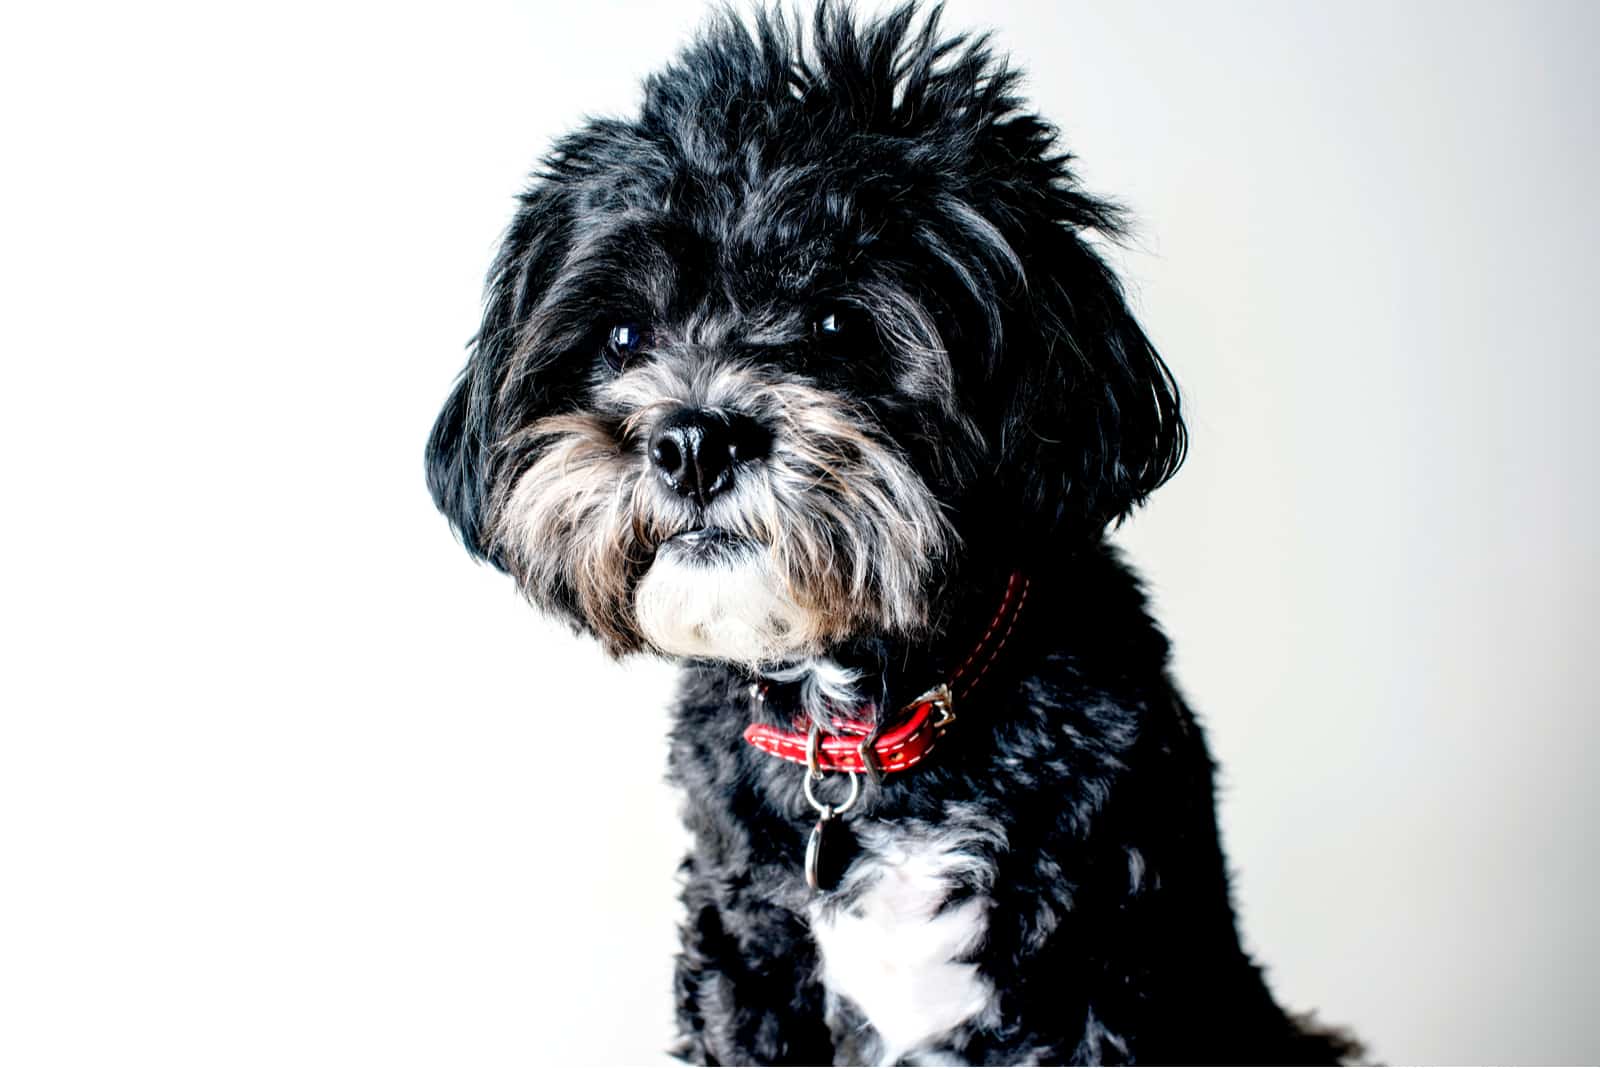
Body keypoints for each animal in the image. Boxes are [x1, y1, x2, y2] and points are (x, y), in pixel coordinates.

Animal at [419, 4, 1356, 1061]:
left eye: (837, 323)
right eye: (622, 336)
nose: (693, 441)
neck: (864, 732)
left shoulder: (1102, 975)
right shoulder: (743, 960)